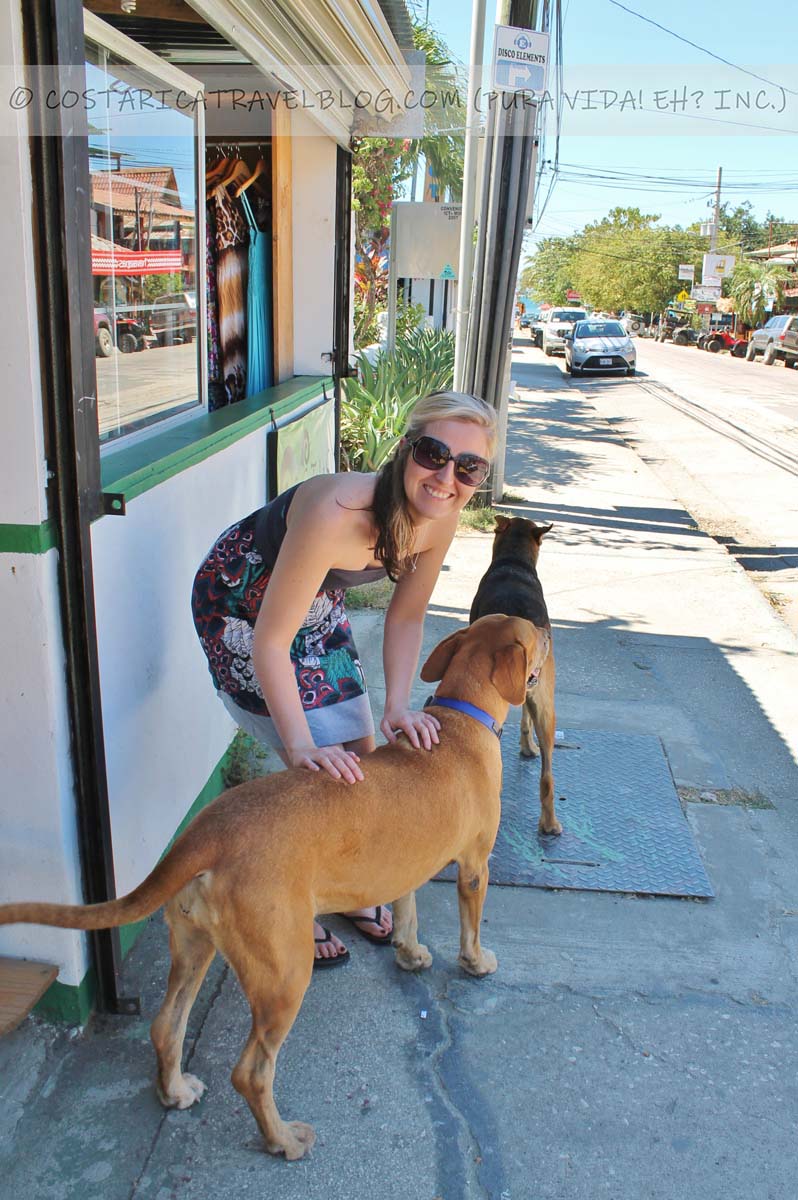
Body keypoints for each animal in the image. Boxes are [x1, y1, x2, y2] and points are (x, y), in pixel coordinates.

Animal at [0, 614, 547, 1156]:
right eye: (533, 635)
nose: (547, 630)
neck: (461, 717)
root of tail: (206, 832)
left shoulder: (407, 866)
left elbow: (407, 915)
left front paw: (410, 954)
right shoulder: (474, 866)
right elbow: (470, 928)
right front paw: (477, 963)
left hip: (195, 944)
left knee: (165, 1026)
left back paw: (174, 1090)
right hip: (285, 971)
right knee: (251, 1072)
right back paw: (282, 1138)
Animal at [468, 516, 559, 835]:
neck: (514, 561)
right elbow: (526, 719)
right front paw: (528, 748)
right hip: (548, 708)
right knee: (548, 777)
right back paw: (550, 823)